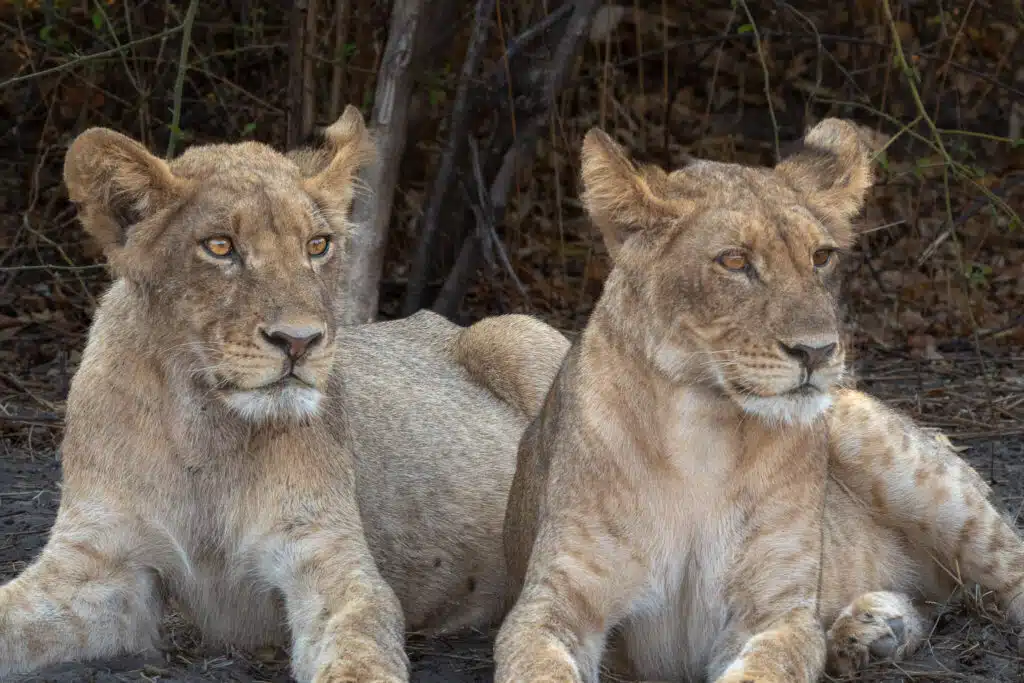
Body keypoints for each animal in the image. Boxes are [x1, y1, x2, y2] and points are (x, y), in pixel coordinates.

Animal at [0, 106, 570, 683]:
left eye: (317, 246)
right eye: (220, 246)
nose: (299, 341)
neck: (203, 428)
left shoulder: (329, 560)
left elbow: (358, 657)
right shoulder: (100, 571)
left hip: (515, 332)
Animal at [494, 119, 1024, 683]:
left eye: (821, 257)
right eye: (734, 260)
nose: (817, 351)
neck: (699, 432)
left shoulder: (773, 611)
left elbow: (768, 665)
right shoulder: (551, 605)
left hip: (904, 463)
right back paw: (871, 630)